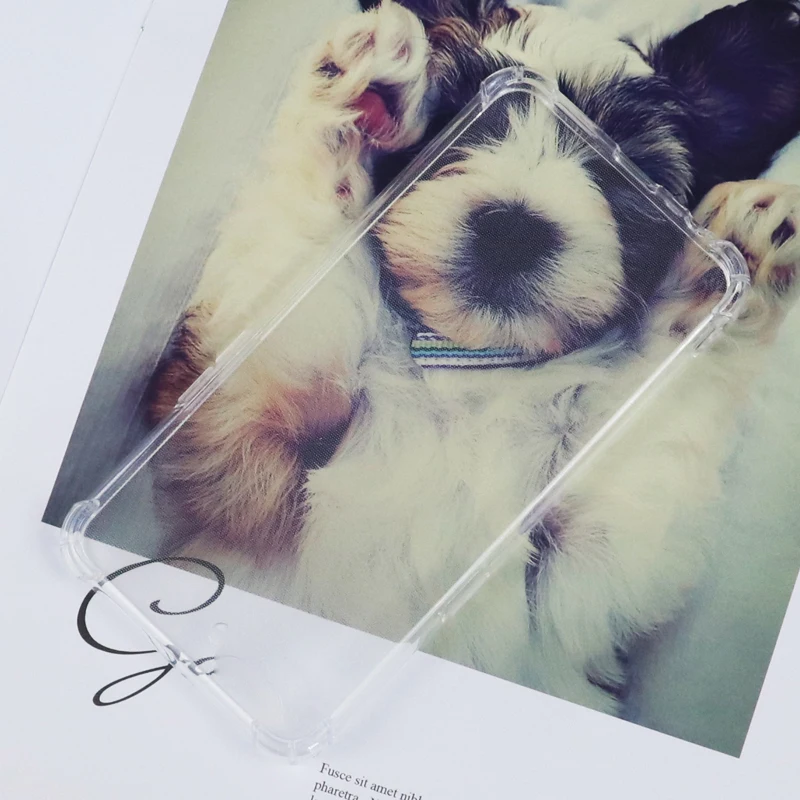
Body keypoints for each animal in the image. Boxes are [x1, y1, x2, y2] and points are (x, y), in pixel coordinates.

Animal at [149, 0, 800, 715]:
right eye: (454, 119)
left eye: (628, 170)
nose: (513, 229)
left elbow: (640, 483)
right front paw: (354, 94)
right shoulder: (235, 446)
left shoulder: (584, 592)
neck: (473, 361)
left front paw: (734, 261)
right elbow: (286, 302)